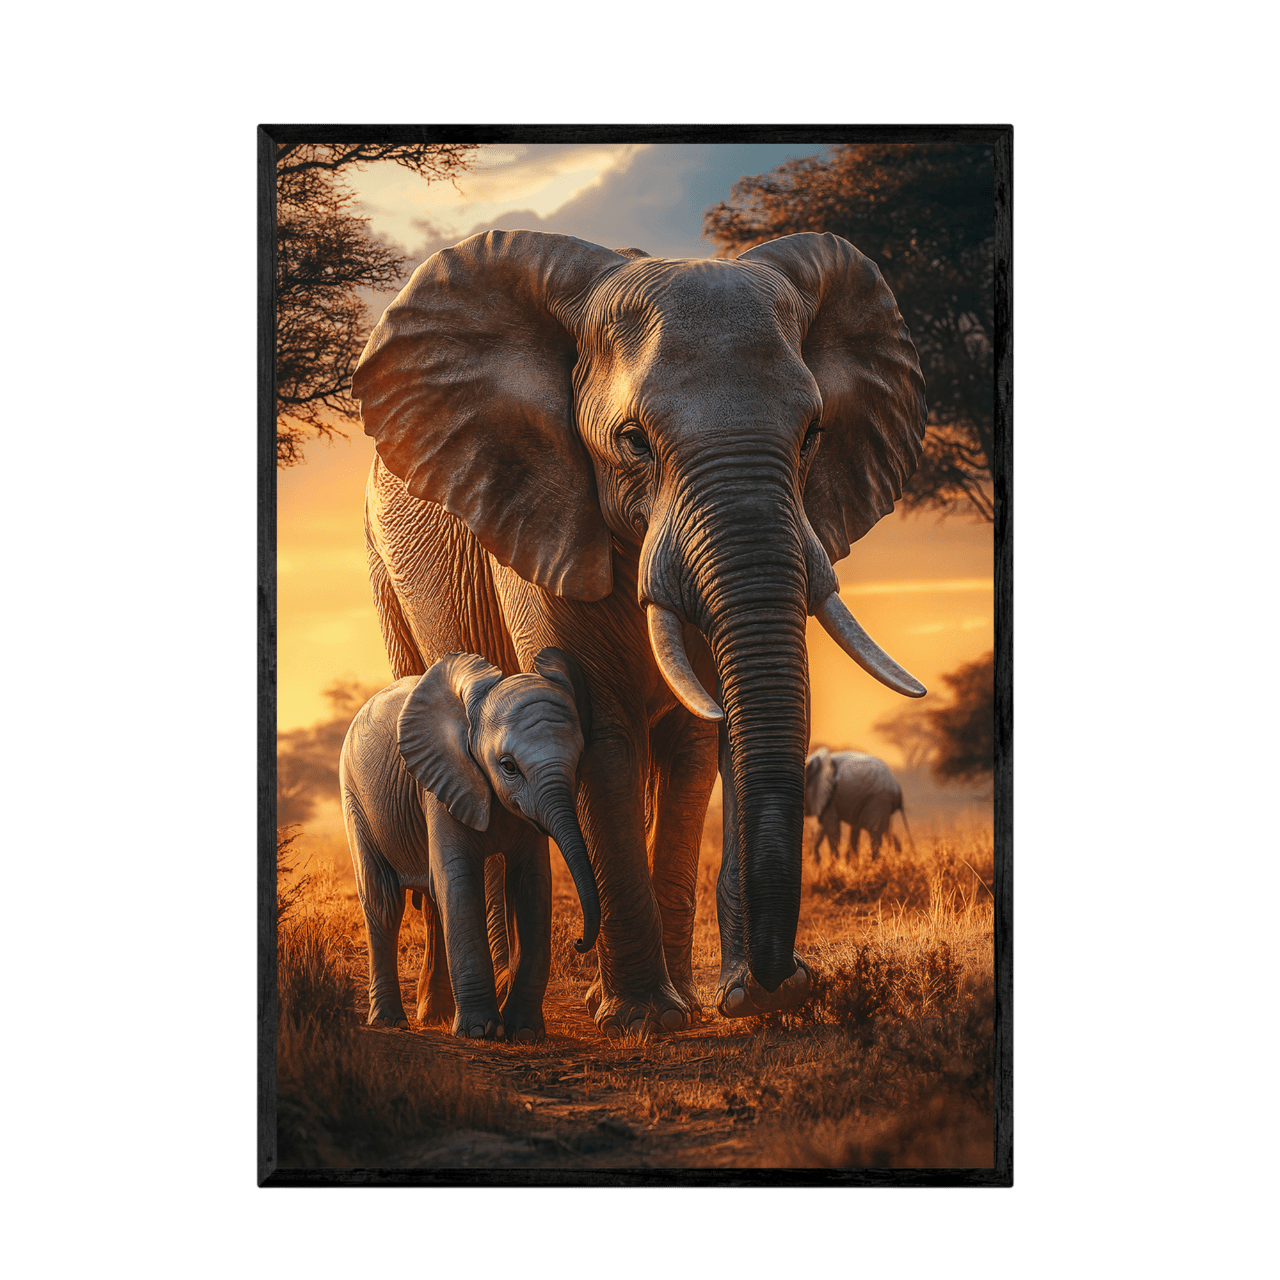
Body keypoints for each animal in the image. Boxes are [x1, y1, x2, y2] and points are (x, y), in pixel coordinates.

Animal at [339, 647, 599, 1041]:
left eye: (579, 758)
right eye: (508, 766)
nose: (580, 942)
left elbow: (532, 884)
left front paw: (523, 1032)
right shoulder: (441, 781)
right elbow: (460, 882)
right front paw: (479, 1031)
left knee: (432, 901)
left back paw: (434, 1015)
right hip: (355, 797)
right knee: (384, 902)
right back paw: (389, 1021)